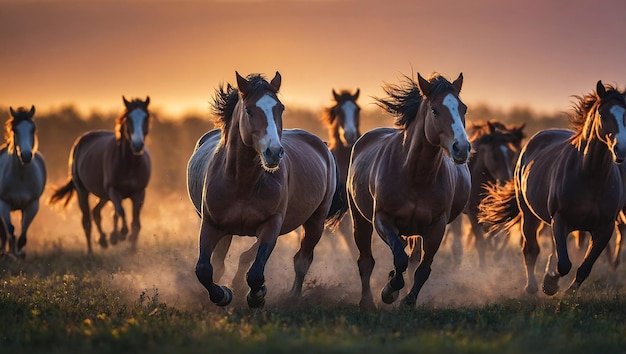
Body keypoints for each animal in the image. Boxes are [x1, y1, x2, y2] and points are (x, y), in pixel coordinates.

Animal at [0, 105, 46, 258]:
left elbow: (23, 234)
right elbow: (10, 229)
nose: (26, 156)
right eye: (15, 130)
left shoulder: (32, 205)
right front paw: (12, 252)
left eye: (33, 129)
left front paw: (19, 252)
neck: (21, 177)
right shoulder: (3, 203)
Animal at [48, 95, 152, 256]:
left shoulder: (139, 193)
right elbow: (120, 212)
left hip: (103, 195)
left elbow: (135, 223)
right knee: (87, 221)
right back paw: (91, 252)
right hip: (83, 191)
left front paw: (132, 249)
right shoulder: (113, 190)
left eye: (146, 117)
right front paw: (119, 235)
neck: (129, 164)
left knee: (96, 212)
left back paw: (103, 240)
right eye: (128, 118)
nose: (137, 145)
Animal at [185, 71, 346, 306]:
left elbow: (256, 272)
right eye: (249, 110)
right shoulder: (211, 224)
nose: (274, 152)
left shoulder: (271, 224)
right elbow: (205, 269)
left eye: (281, 108)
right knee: (228, 260)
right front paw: (223, 294)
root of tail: (323, 146)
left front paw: (257, 295)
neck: (243, 182)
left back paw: (292, 297)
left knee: (302, 259)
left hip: (315, 221)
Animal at [346, 72, 468, 310]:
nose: (462, 148)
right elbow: (399, 258)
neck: (415, 175)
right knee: (366, 260)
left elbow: (422, 268)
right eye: (435, 110)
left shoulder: (437, 226)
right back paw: (367, 301)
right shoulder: (382, 219)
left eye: (463, 109)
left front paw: (408, 300)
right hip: (360, 220)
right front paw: (389, 291)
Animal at [444, 120, 528, 266]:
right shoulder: (473, 213)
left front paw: (496, 256)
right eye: (494, 155)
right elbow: (481, 244)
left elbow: (500, 235)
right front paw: (483, 267)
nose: (506, 182)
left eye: (511, 154)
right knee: (457, 239)